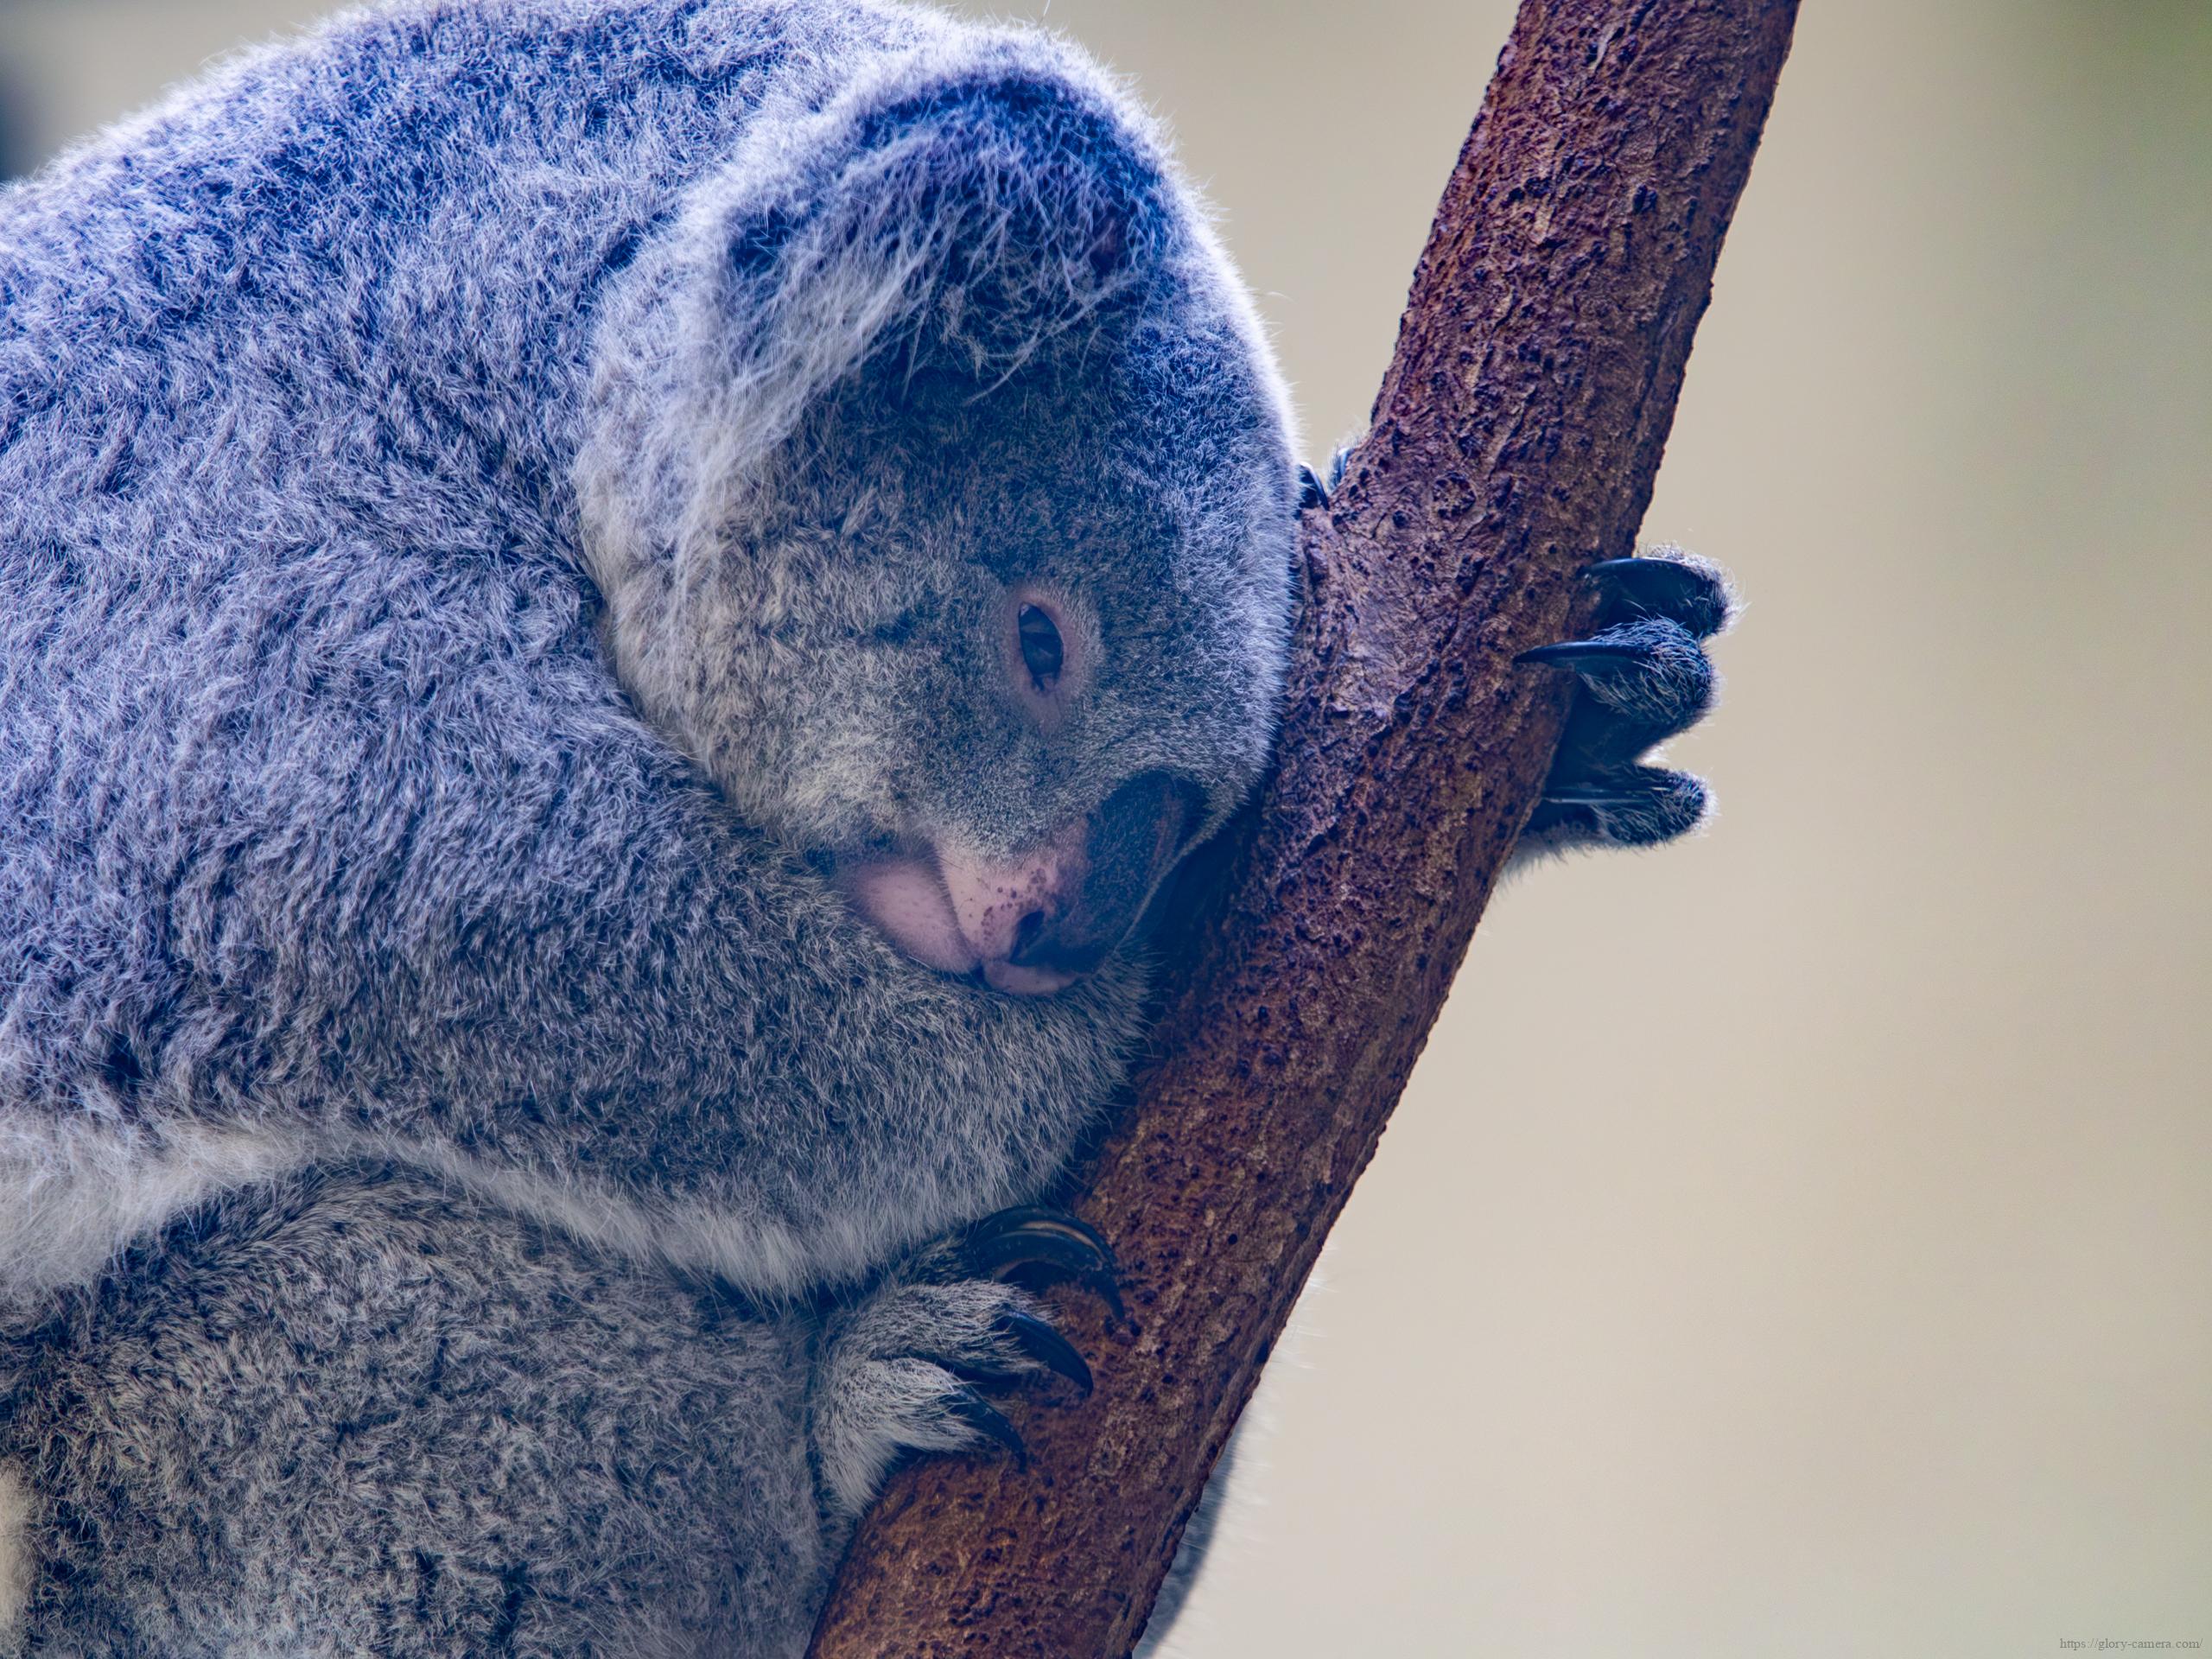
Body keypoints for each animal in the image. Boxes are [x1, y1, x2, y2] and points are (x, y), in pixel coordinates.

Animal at [0, 0, 1733, 1651]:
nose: (1070, 928)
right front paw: (1130, 996)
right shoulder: (226, 639)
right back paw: (872, 1405)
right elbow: (579, 958)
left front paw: (1593, 715)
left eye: (1197, 805)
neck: (496, 340)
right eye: (1042, 641)